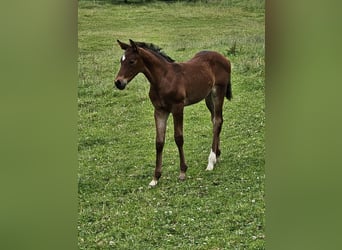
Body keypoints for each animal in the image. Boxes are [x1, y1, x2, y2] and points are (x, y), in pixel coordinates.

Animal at [113, 39, 231, 187]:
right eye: (121, 60)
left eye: (132, 61)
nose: (118, 82)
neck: (162, 79)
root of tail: (225, 58)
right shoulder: (159, 110)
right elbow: (159, 142)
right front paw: (155, 178)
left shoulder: (178, 107)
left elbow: (178, 138)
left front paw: (182, 172)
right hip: (208, 96)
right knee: (215, 120)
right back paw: (217, 156)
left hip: (218, 92)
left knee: (218, 121)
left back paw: (211, 161)